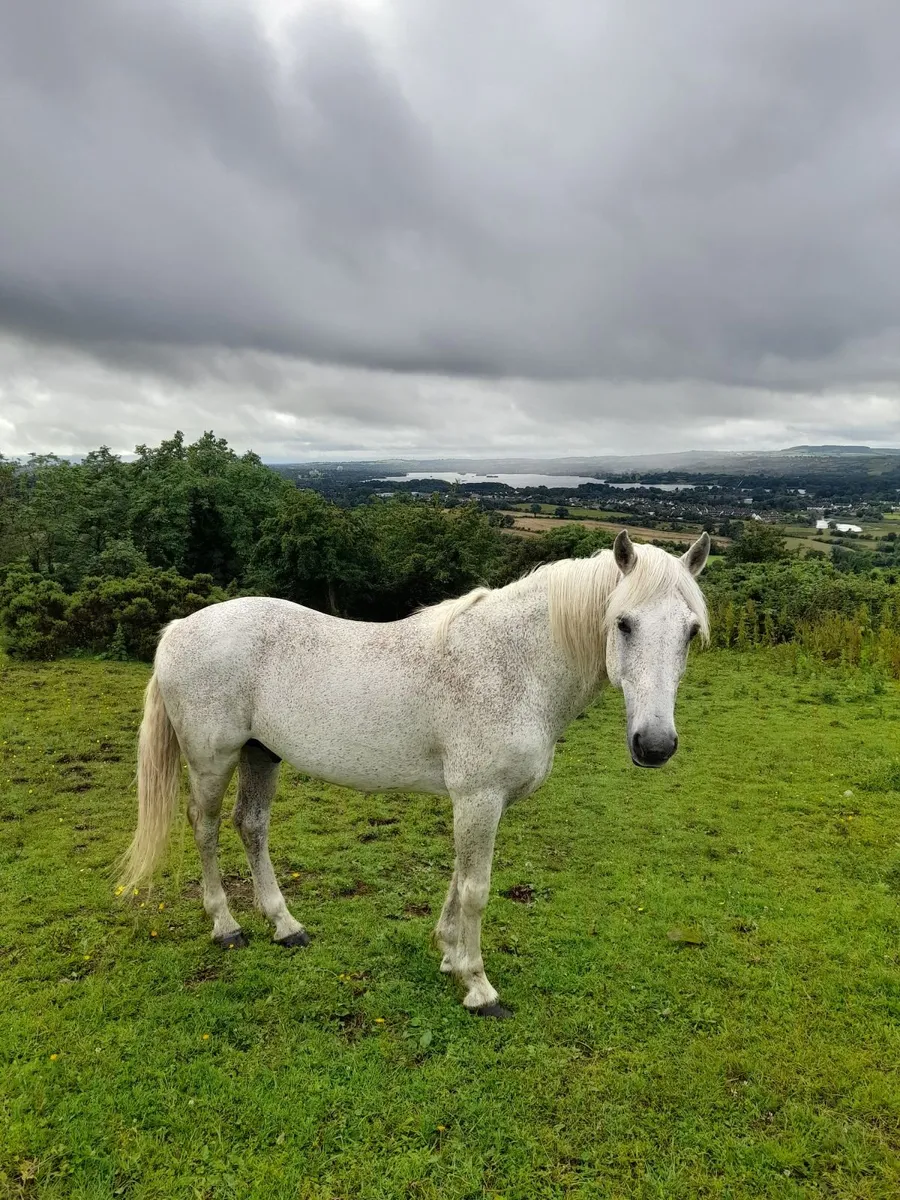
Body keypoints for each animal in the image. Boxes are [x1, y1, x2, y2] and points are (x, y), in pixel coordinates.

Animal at [118, 529, 710, 1017]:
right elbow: (475, 888)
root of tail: (179, 628)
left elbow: (457, 878)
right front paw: (478, 986)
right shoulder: (478, 797)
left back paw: (286, 927)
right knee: (205, 827)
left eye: (690, 632)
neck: (516, 665)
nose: (655, 745)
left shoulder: (480, 802)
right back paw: (226, 926)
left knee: (251, 826)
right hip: (212, 759)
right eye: (623, 623)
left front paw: (448, 954)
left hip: (260, 753)